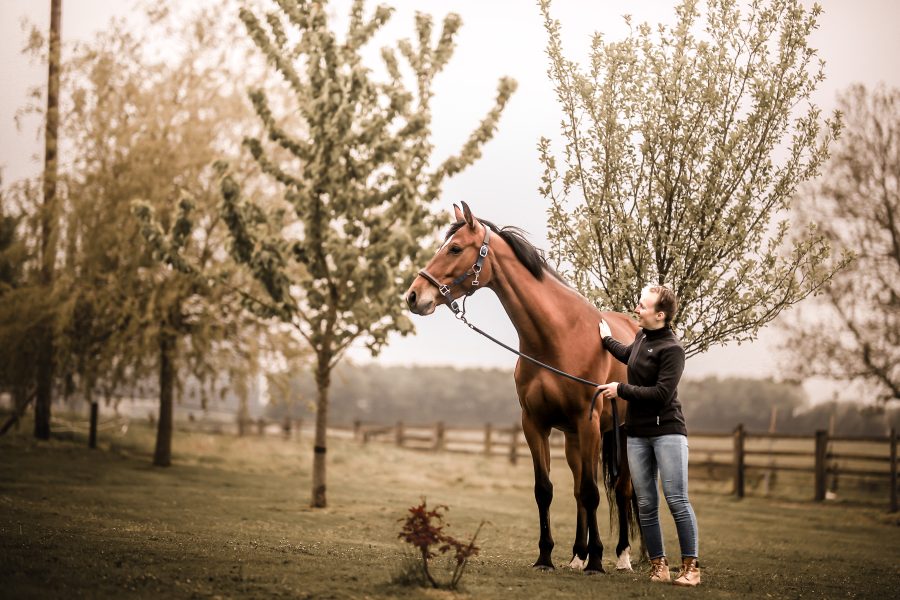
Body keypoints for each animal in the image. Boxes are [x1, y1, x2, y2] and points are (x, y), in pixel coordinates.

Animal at [404, 202, 644, 572]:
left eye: (455, 249)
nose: (414, 296)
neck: (558, 336)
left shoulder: (587, 421)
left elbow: (594, 493)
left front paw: (596, 562)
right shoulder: (534, 424)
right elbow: (545, 490)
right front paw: (546, 556)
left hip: (619, 433)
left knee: (620, 490)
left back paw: (619, 557)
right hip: (574, 439)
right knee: (579, 490)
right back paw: (577, 555)